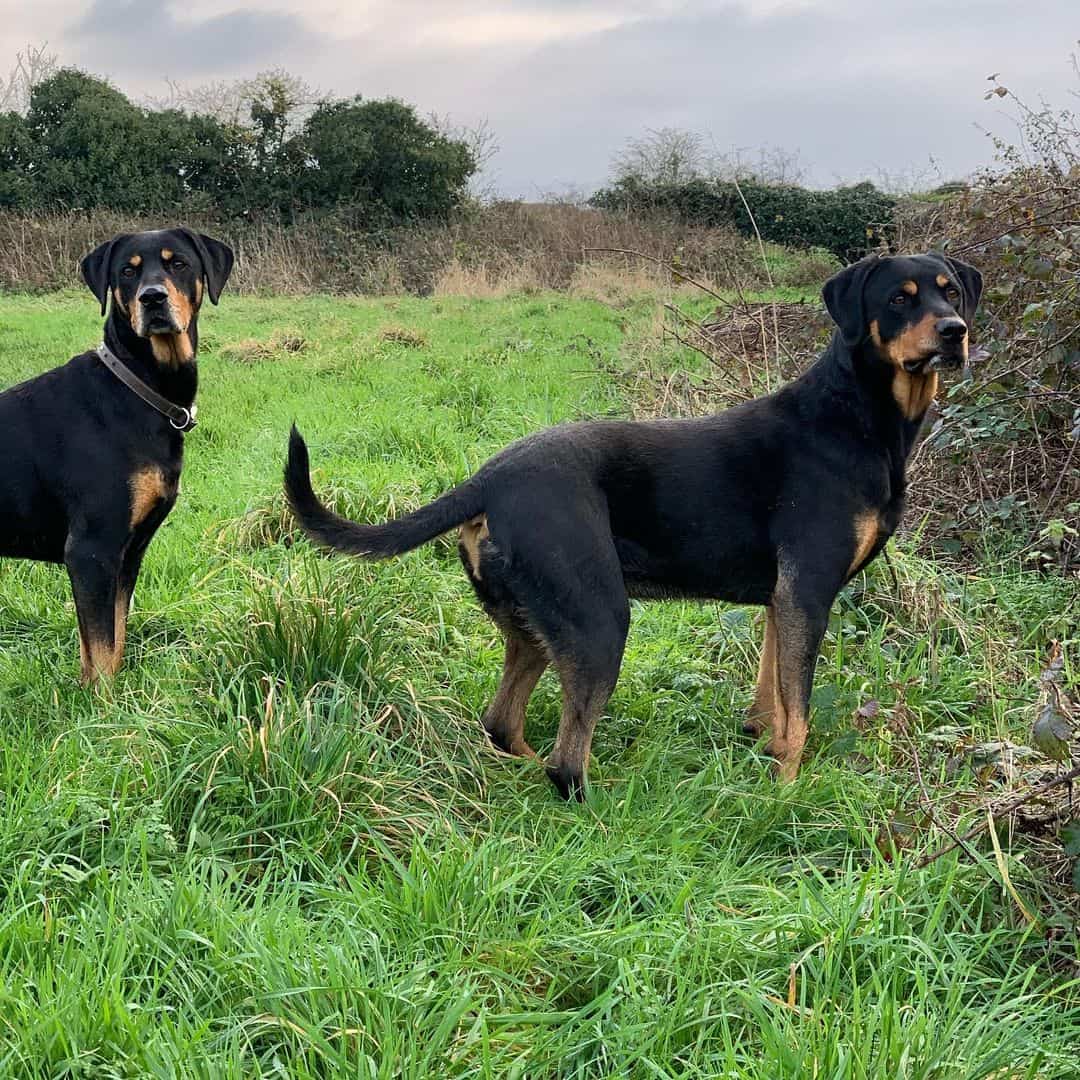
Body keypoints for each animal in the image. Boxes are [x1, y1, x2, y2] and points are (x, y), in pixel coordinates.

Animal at [0, 227, 234, 682]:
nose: (152, 298)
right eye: (128, 271)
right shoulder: (91, 550)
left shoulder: (128, 555)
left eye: (179, 263)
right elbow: (104, 652)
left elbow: (111, 642)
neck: (138, 388)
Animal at [285, 250, 980, 794]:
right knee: (566, 764)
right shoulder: (807, 590)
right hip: (599, 620)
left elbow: (771, 701)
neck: (859, 413)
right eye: (898, 299)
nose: (956, 331)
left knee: (504, 725)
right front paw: (787, 794)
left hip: (537, 627)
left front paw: (762, 758)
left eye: (950, 291)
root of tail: (489, 478)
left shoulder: (780, 601)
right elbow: (799, 711)